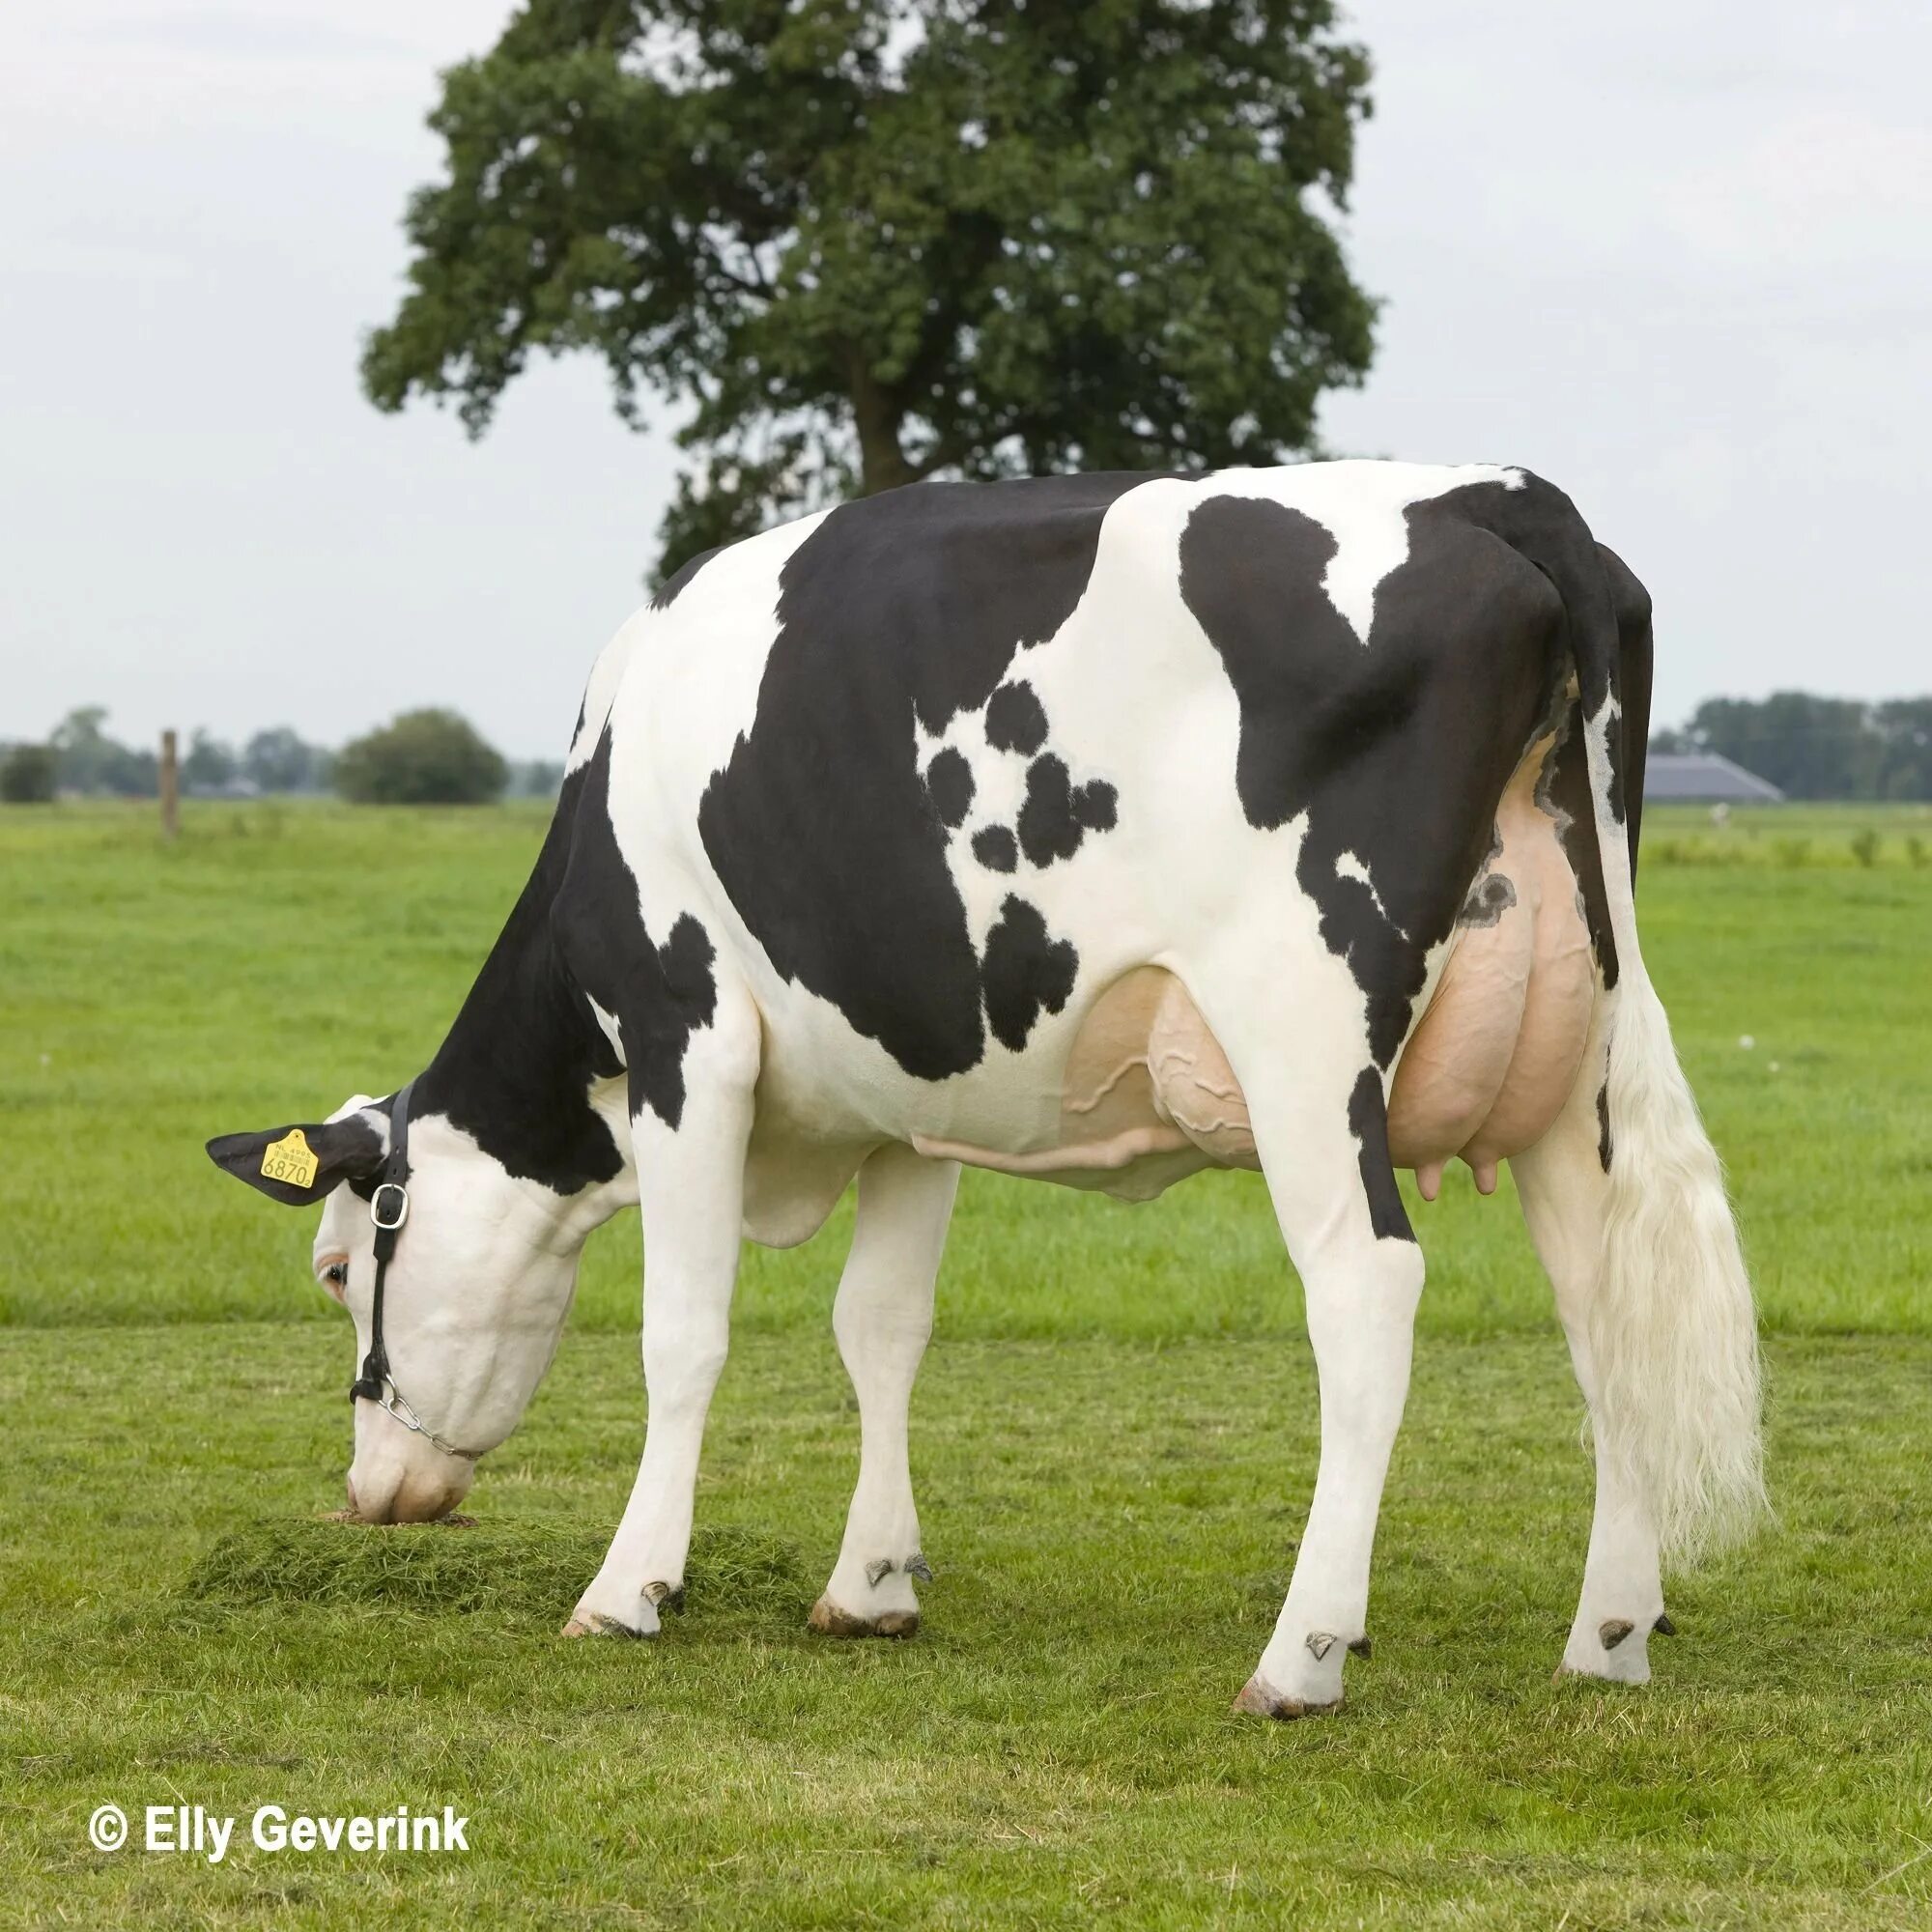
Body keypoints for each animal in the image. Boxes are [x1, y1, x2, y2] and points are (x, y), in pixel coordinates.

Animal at [208, 460, 1770, 1716]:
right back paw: (1608, 1635)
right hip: (1576, 1060)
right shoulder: (915, 1089)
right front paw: (870, 1582)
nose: (373, 1494)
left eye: (340, 1269)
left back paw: (1302, 1654)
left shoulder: (686, 1039)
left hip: (1305, 1034)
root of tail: (1499, 497)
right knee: (1606, 1308)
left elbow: (683, 1334)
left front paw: (628, 1586)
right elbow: (881, 1328)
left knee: (1367, 1289)